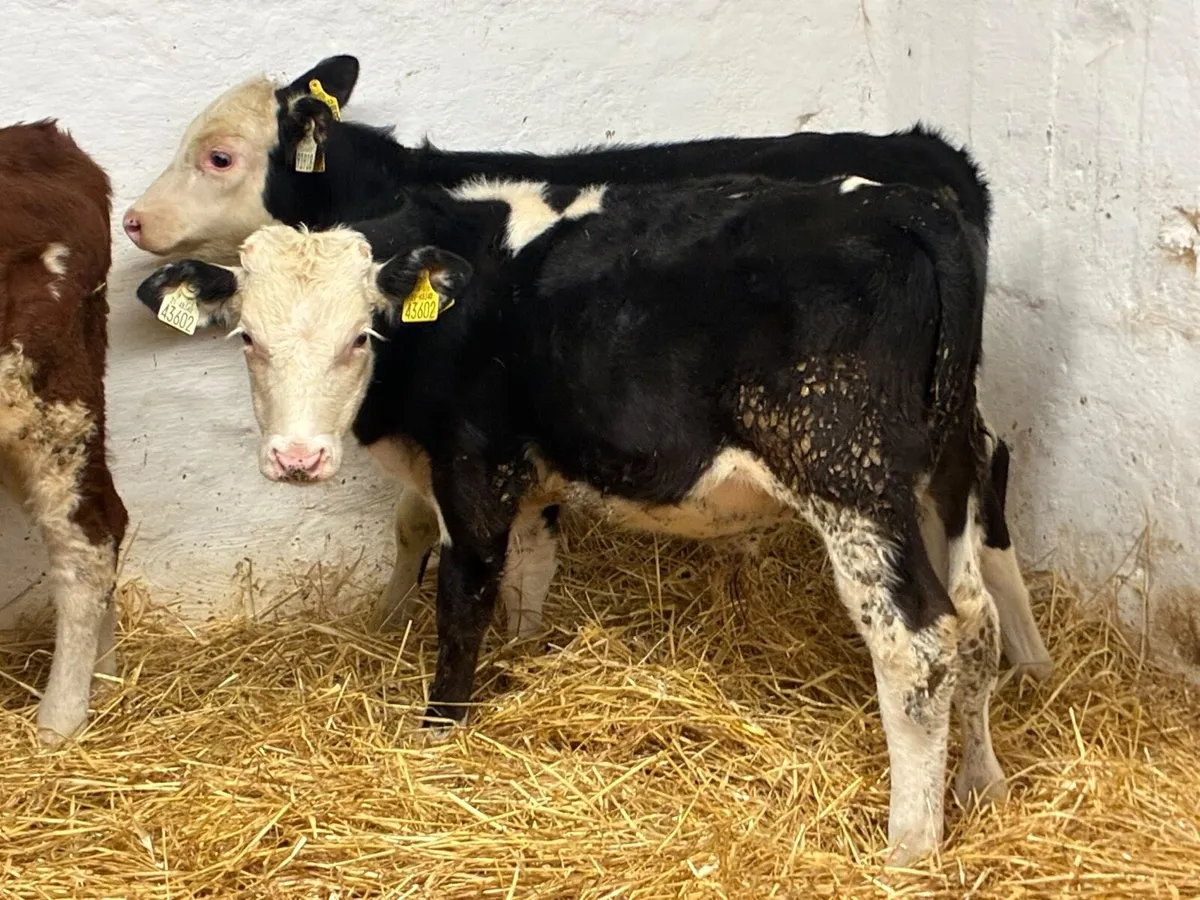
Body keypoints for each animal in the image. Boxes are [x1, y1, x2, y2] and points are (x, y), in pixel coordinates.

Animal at [123, 55, 1053, 683]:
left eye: (218, 156)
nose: (132, 220)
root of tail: (928, 158)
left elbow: (427, 532)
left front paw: (398, 624)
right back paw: (1029, 660)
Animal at [136, 169, 1012, 865]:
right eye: (248, 339)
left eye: (361, 337)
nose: (297, 459)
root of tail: (904, 204)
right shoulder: (528, 474)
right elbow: (528, 575)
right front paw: (525, 667)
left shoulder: (474, 466)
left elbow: (464, 601)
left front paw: (438, 733)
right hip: (952, 456)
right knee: (977, 615)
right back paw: (983, 783)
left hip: (847, 474)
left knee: (916, 643)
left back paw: (909, 847)